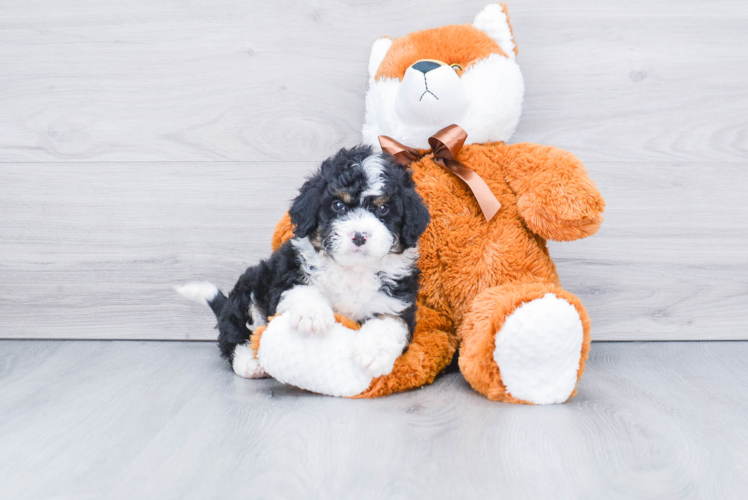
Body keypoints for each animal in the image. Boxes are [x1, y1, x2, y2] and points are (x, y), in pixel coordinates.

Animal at [176, 145, 430, 378]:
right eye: (338, 205)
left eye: (383, 209)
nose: (359, 236)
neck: (352, 270)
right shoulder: (287, 276)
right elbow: (300, 290)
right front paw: (313, 316)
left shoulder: (397, 302)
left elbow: (390, 322)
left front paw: (373, 353)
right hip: (249, 289)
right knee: (237, 334)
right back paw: (250, 363)